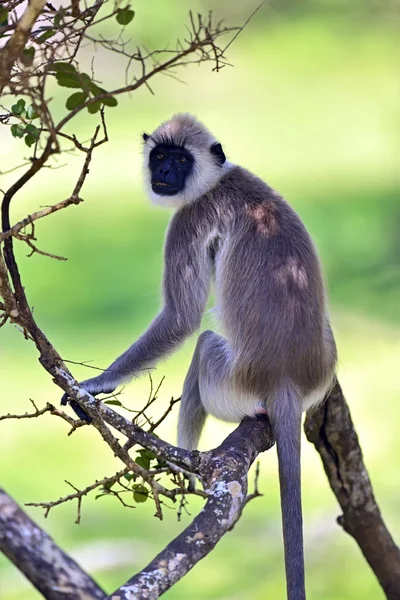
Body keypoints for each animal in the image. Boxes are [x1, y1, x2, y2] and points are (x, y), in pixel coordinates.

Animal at [62, 112, 338, 600]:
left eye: (179, 160)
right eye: (160, 155)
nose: (162, 173)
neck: (219, 180)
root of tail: (285, 380)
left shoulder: (190, 218)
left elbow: (182, 318)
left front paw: (94, 386)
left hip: (227, 381)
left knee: (205, 342)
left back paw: (183, 468)